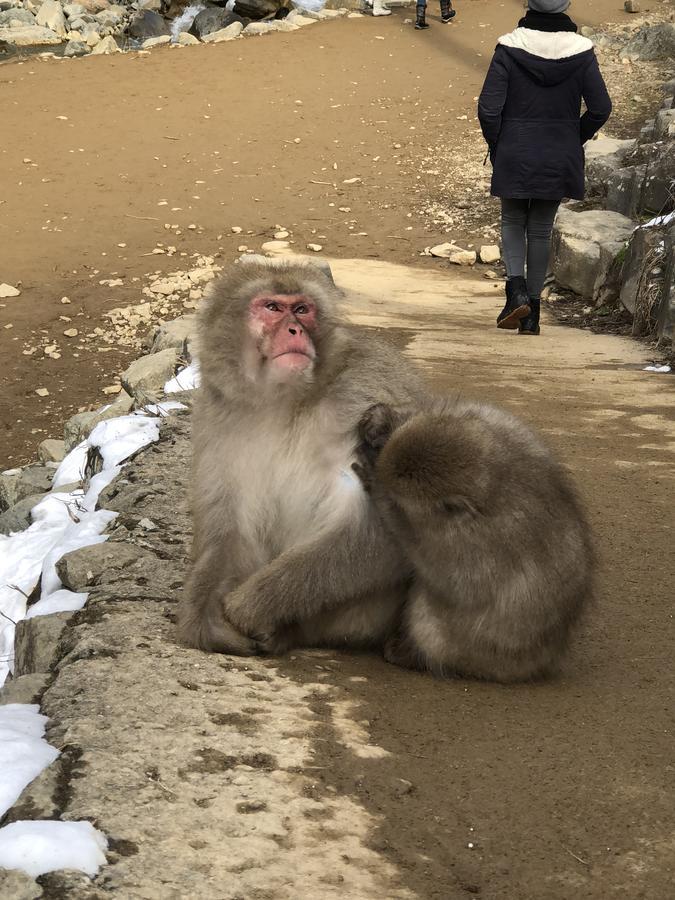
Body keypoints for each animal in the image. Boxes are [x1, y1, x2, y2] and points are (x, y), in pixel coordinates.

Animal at [177, 256, 426, 656]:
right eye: (272, 307)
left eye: (302, 310)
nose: (294, 330)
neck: (286, 399)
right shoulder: (217, 417)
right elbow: (228, 521)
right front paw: (204, 620)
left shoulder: (365, 391)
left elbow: (390, 528)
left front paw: (249, 606)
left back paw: (285, 632)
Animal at [352, 400, 596, 684]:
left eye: (396, 499)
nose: (380, 484)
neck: (494, 482)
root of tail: (543, 660)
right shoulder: (497, 421)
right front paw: (382, 420)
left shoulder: (475, 542)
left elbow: (447, 576)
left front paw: (378, 488)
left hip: (485, 656)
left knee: (430, 618)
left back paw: (411, 655)